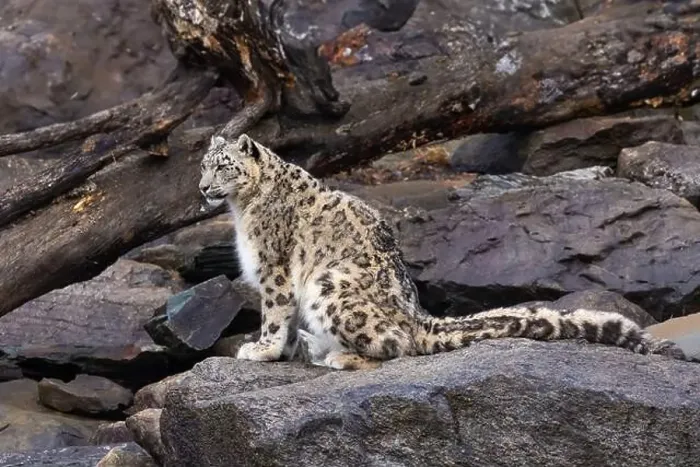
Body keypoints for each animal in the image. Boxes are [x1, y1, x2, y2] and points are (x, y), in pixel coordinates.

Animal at [198, 133, 686, 370]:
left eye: (223, 167)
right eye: (203, 165)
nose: (202, 188)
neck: (242, 209)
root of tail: (419, 316)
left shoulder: (275, 268)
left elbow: (275, 312)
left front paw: (261, 349)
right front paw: (272, 350)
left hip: (329, 284)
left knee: (398, 345)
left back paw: (338, 355)